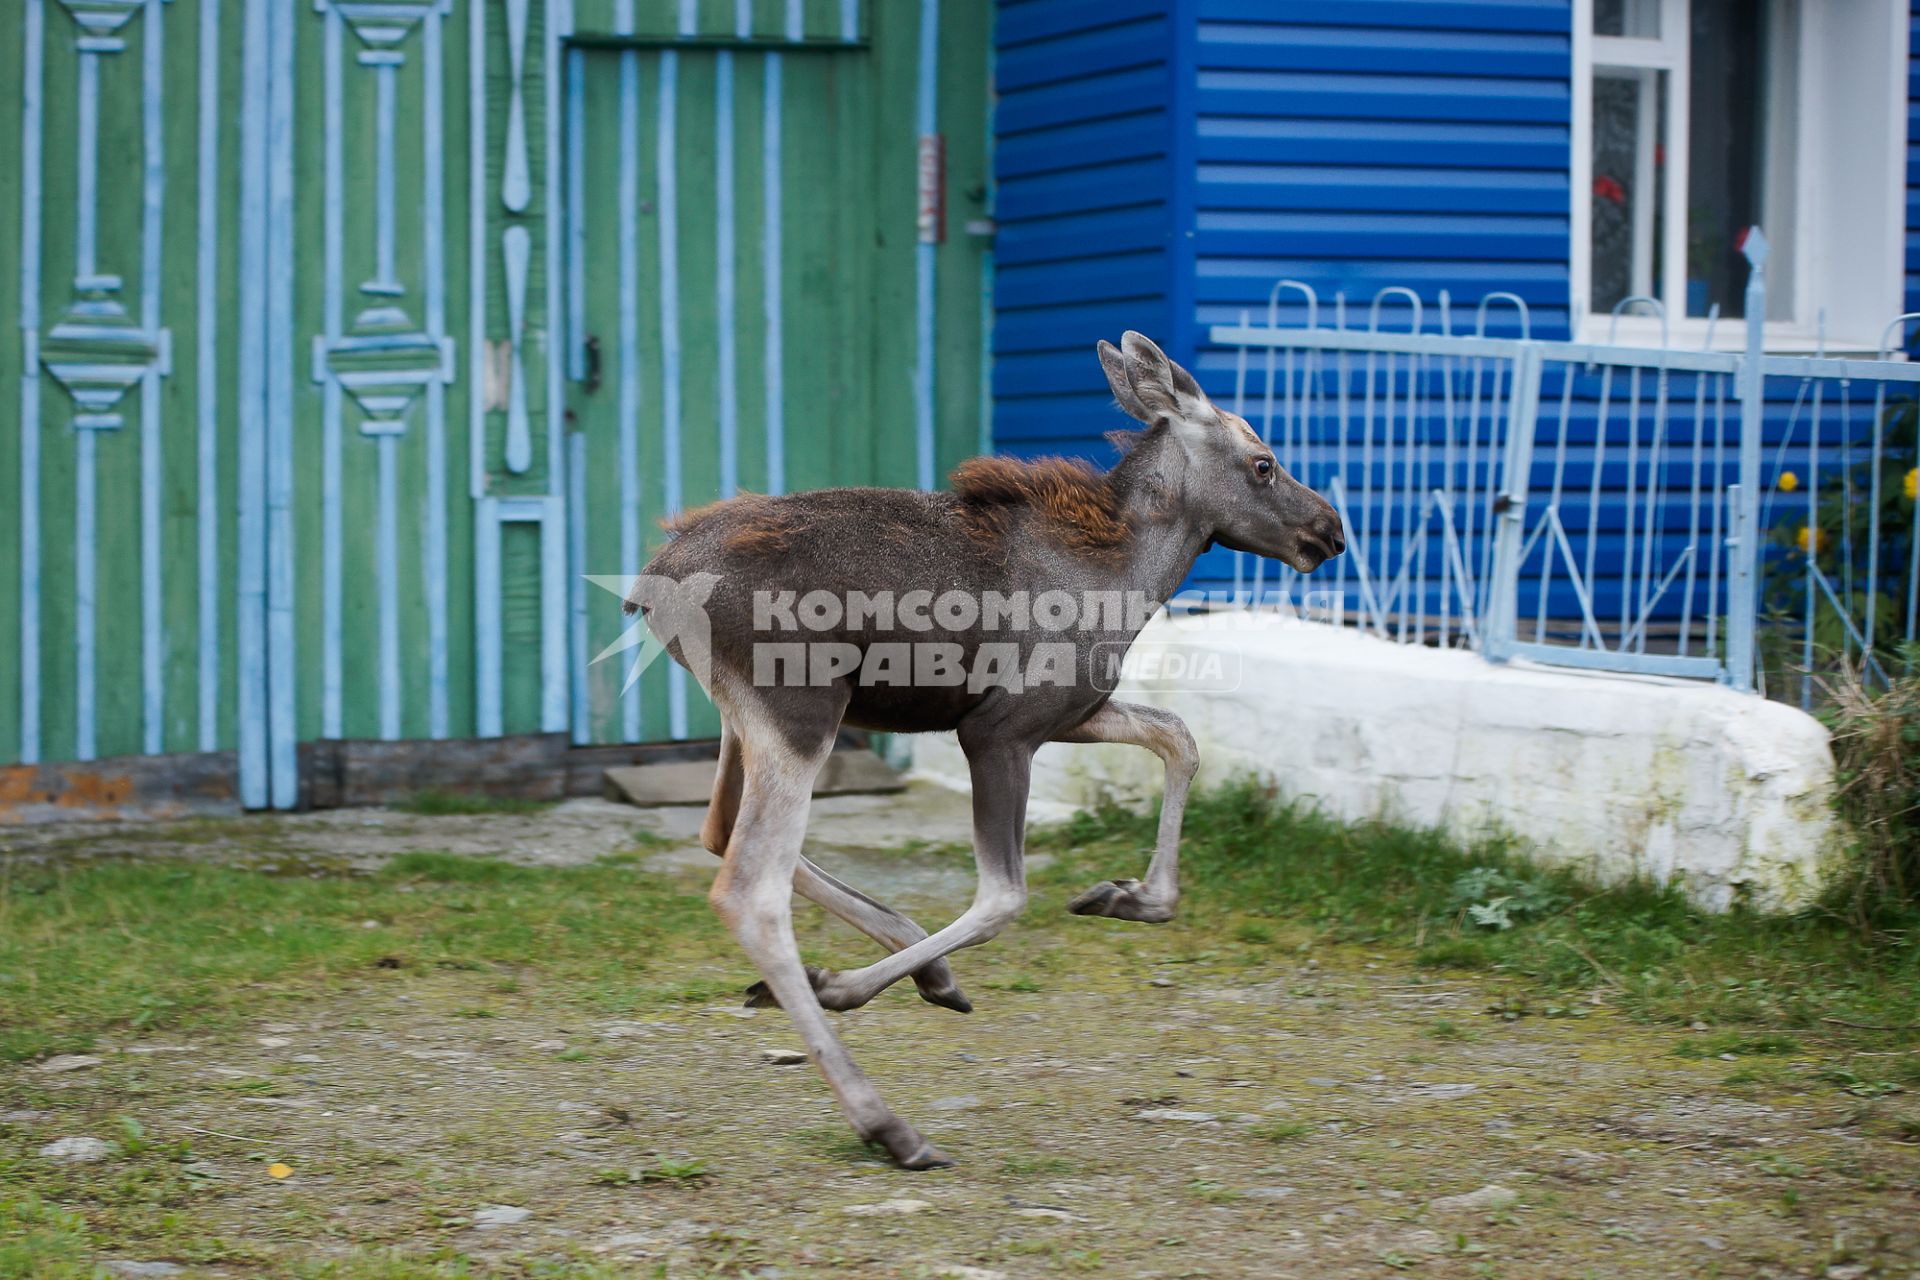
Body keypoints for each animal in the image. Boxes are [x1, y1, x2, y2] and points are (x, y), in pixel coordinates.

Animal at [622, 333, 1344, 1174]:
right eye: (1263, 462)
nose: (1330, 527)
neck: (1129, 579)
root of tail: (649, 585)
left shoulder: (1069, 712)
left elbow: (1178, 735)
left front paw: (1133, 895)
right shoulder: (998, 732)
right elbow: (1004, 895)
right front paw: (846, 988)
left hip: (748, 723)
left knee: (717, 830)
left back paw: (916, 970)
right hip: (801, 712)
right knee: (749, 889)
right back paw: (886, 1121)